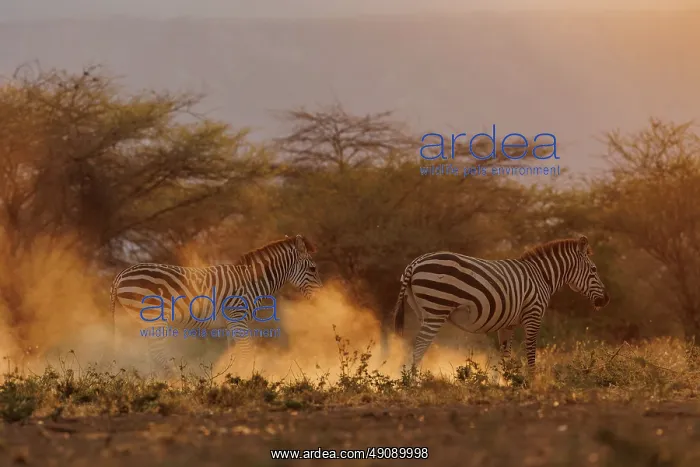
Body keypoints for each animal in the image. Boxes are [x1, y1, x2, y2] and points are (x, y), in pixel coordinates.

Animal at [110, 234, 322, 376]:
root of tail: (121, 275)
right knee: (156, 353)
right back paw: (178, 381)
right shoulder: (238, 318)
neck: (252, 281)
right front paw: (248, 380)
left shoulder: (231, 324)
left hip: (137, 320)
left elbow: (234, 353)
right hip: (153, 317)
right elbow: (246, 351)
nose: (320, 298)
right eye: (313, 269)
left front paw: (231, 378)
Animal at [380, 235, 610, 372]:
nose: (606, 300)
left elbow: (505, 355)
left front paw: (505, 382)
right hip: (436, 310)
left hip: (421, 312)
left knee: (410, 344)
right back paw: (414, 382)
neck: (541, 277)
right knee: (420, 345)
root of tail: (414, 263)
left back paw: (404, 379)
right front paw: (532, 380)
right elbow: (531, 350)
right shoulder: (533, 315)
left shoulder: (508, 324)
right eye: (594, 270)